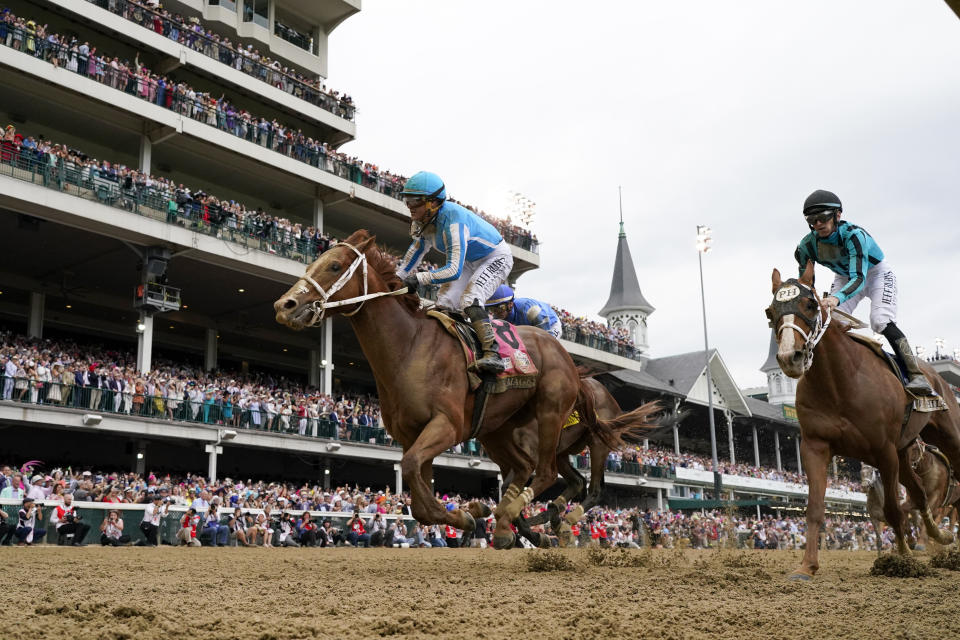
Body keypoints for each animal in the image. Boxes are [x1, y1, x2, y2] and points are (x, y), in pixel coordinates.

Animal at [276, 232, 600, 548]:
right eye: (312, 263)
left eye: (335, 266)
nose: (284, 306)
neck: (410, 348)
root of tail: (566, 356)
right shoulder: (412, 435)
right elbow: (420, 501)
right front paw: (468, 513)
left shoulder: (447, 425)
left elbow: (410, 468)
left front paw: (469, 514)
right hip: (498, 428)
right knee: (522, 468)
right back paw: (508, 525)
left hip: (550, 413)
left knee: (545, 471)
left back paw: (535, 521)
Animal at [768, 262, 960, 580]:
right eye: (770, 312)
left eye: (810, 304)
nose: (788, 357)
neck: (839, 381)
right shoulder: (815, 446)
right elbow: (815, 508)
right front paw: (806, 566)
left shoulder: (883, 451)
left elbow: (894, 509)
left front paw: (903, 559)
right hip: (904, 452)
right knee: (920, 497)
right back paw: (940, 536)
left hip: (946, 436)